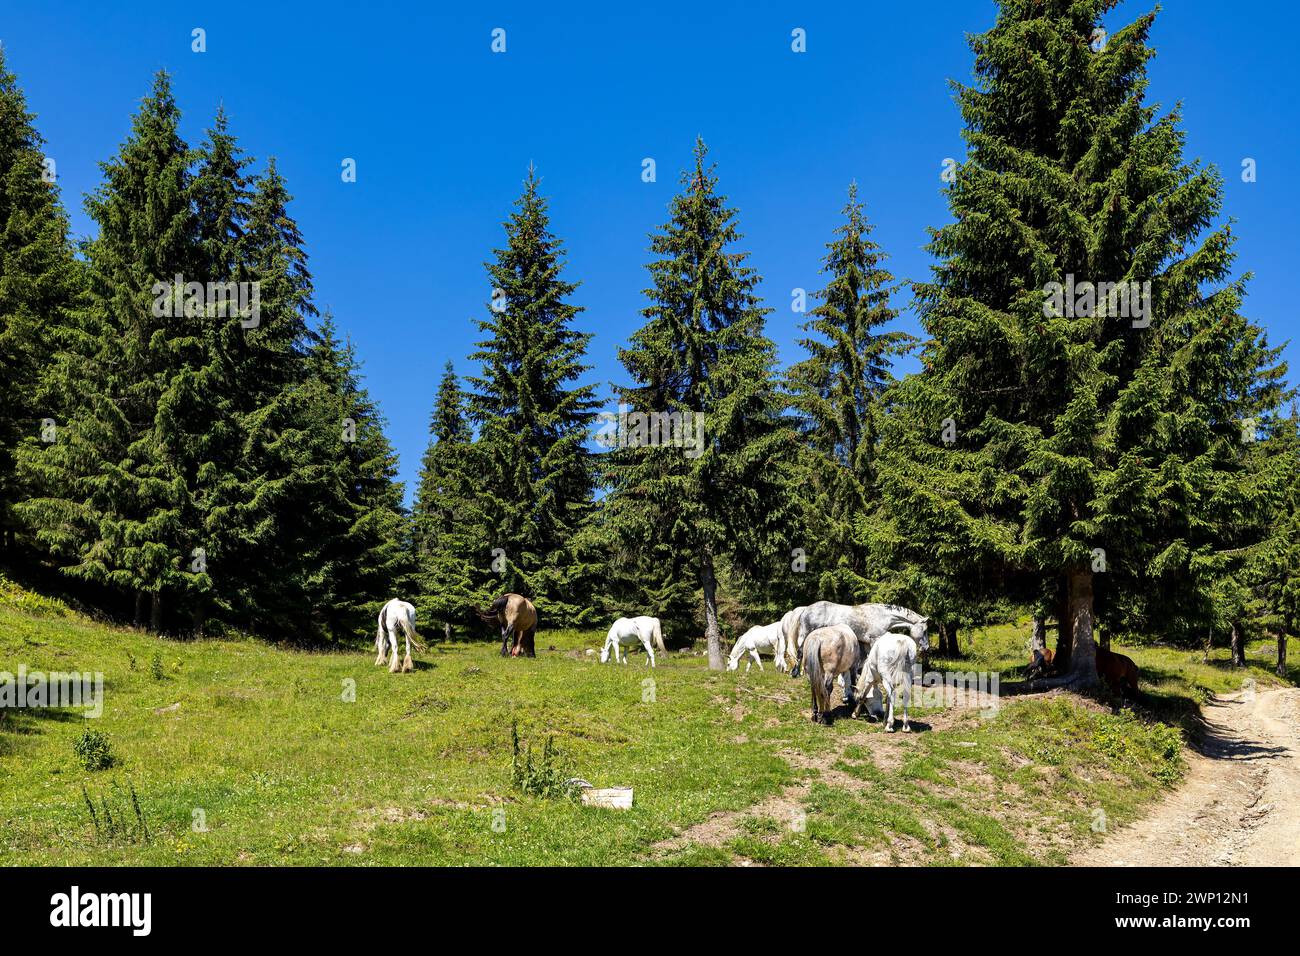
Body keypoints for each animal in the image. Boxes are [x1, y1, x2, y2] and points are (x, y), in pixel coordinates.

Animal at [791, 602, 929, 679]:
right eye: (925, 630)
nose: (926, 647)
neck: (882, 615)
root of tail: (805, 610)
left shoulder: (867, 642)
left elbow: (866, 659)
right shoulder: (874, 639)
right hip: (806, 634)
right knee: (800, 652)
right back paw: (795, 673)